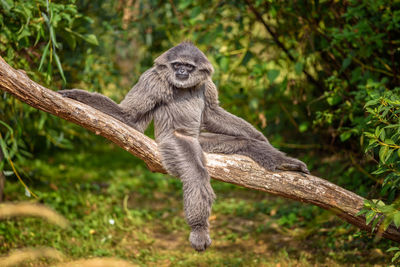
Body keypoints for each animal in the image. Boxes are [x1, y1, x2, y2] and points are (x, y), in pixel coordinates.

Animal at [58, 41, 310, 251]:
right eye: (177, 65)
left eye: (188, 66)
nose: (181, 73)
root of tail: (196, 141)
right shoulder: (152, 79)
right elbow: (128, 116)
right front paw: (76, 96)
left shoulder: (207, 83)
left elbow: (212, 113)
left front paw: (260, 137)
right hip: (175, 143)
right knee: (196, 173)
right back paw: (199, 230)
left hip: (205, 142)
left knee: (243, 143)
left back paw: (283, 162)